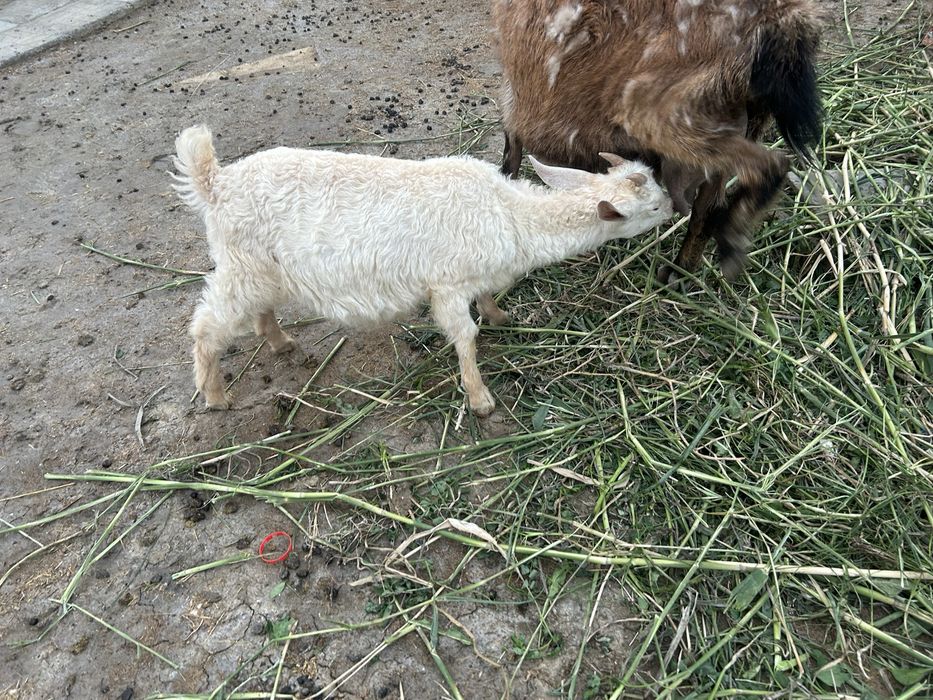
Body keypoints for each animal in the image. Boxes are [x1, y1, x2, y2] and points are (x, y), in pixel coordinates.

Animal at [172, 125, 672, 415]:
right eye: (650, 207)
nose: (675, 207)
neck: (510, 213)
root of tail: (215, 182)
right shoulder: (446, 285)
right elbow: (465, 337)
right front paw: (480, 399)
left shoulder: (472, 276)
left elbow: (485, 302)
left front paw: (500, 316)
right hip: (239, 264)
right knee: (207, 327)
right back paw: (215, 396)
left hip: (259, 268)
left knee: (257, 310)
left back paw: (280, 343)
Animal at [493, 0, 823, 282]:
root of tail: (781, 19)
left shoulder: (515, 95)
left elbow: (510, 152)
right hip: (740, 118)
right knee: (710, 202)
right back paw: (681, 272)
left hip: (661, 110)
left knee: (770, 164)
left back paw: (730, 248)